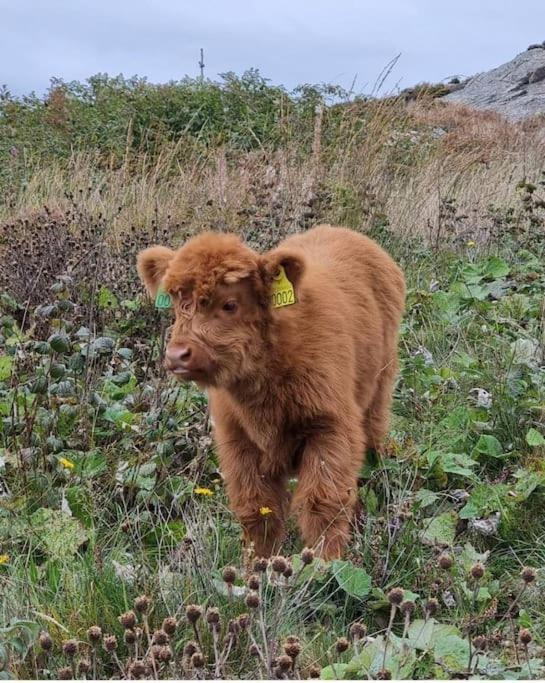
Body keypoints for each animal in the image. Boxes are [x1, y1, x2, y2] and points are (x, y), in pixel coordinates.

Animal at [138, 227, 406, 560]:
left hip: (379, 387)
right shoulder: (238, 442)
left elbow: (323, 503)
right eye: (176, 304)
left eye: (230, 304)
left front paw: (327, 564)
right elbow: (257, 510)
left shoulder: (331, 429)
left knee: (372, 443)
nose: (177, 355)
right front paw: (257, 566)